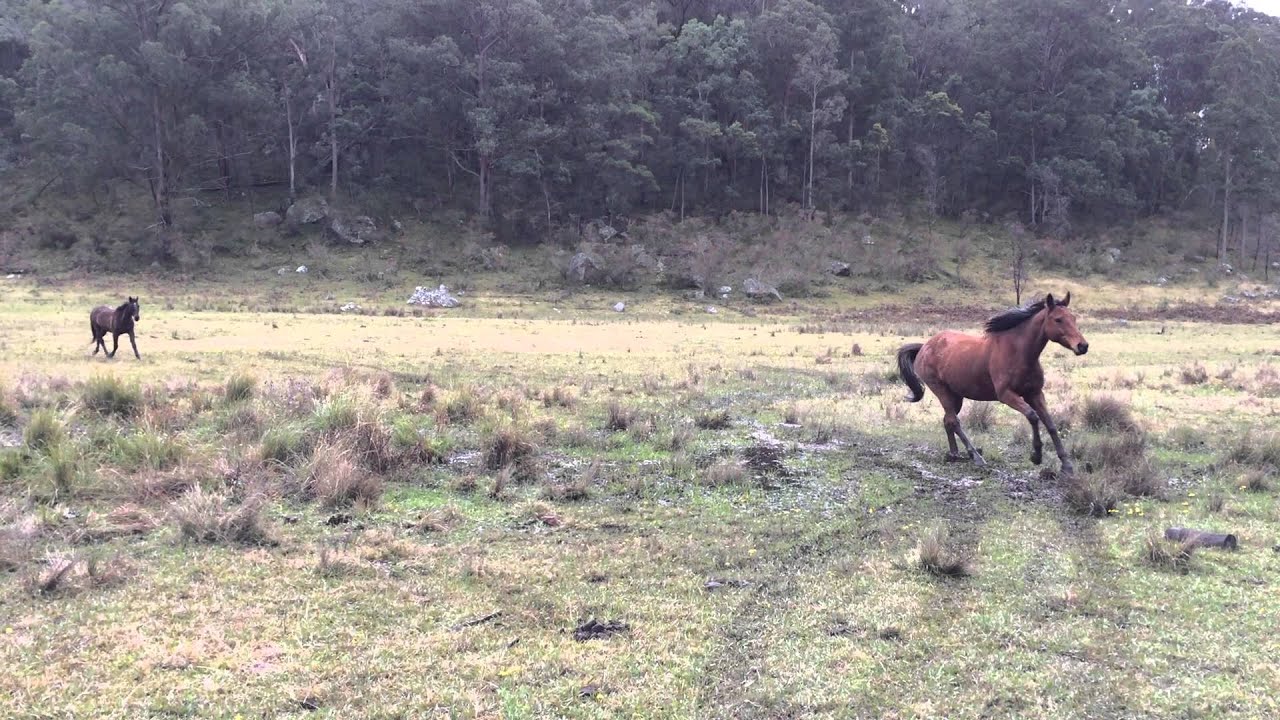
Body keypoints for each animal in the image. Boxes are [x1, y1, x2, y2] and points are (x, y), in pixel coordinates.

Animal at [896, 292, 1088, 476]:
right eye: (1058, 319)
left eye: (1074, 318)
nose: (1083, 346)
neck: (1018, 352)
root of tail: (924, 347)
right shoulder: (1006, 395)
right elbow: (1032, 416)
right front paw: (1036, 456)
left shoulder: (1035, 393)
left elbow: (1051, 425)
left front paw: (1067, 466)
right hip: (942, 392)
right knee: (954, 421)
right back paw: (976, 456)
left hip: (955, 396)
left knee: (948, 421)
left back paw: (955, 454)